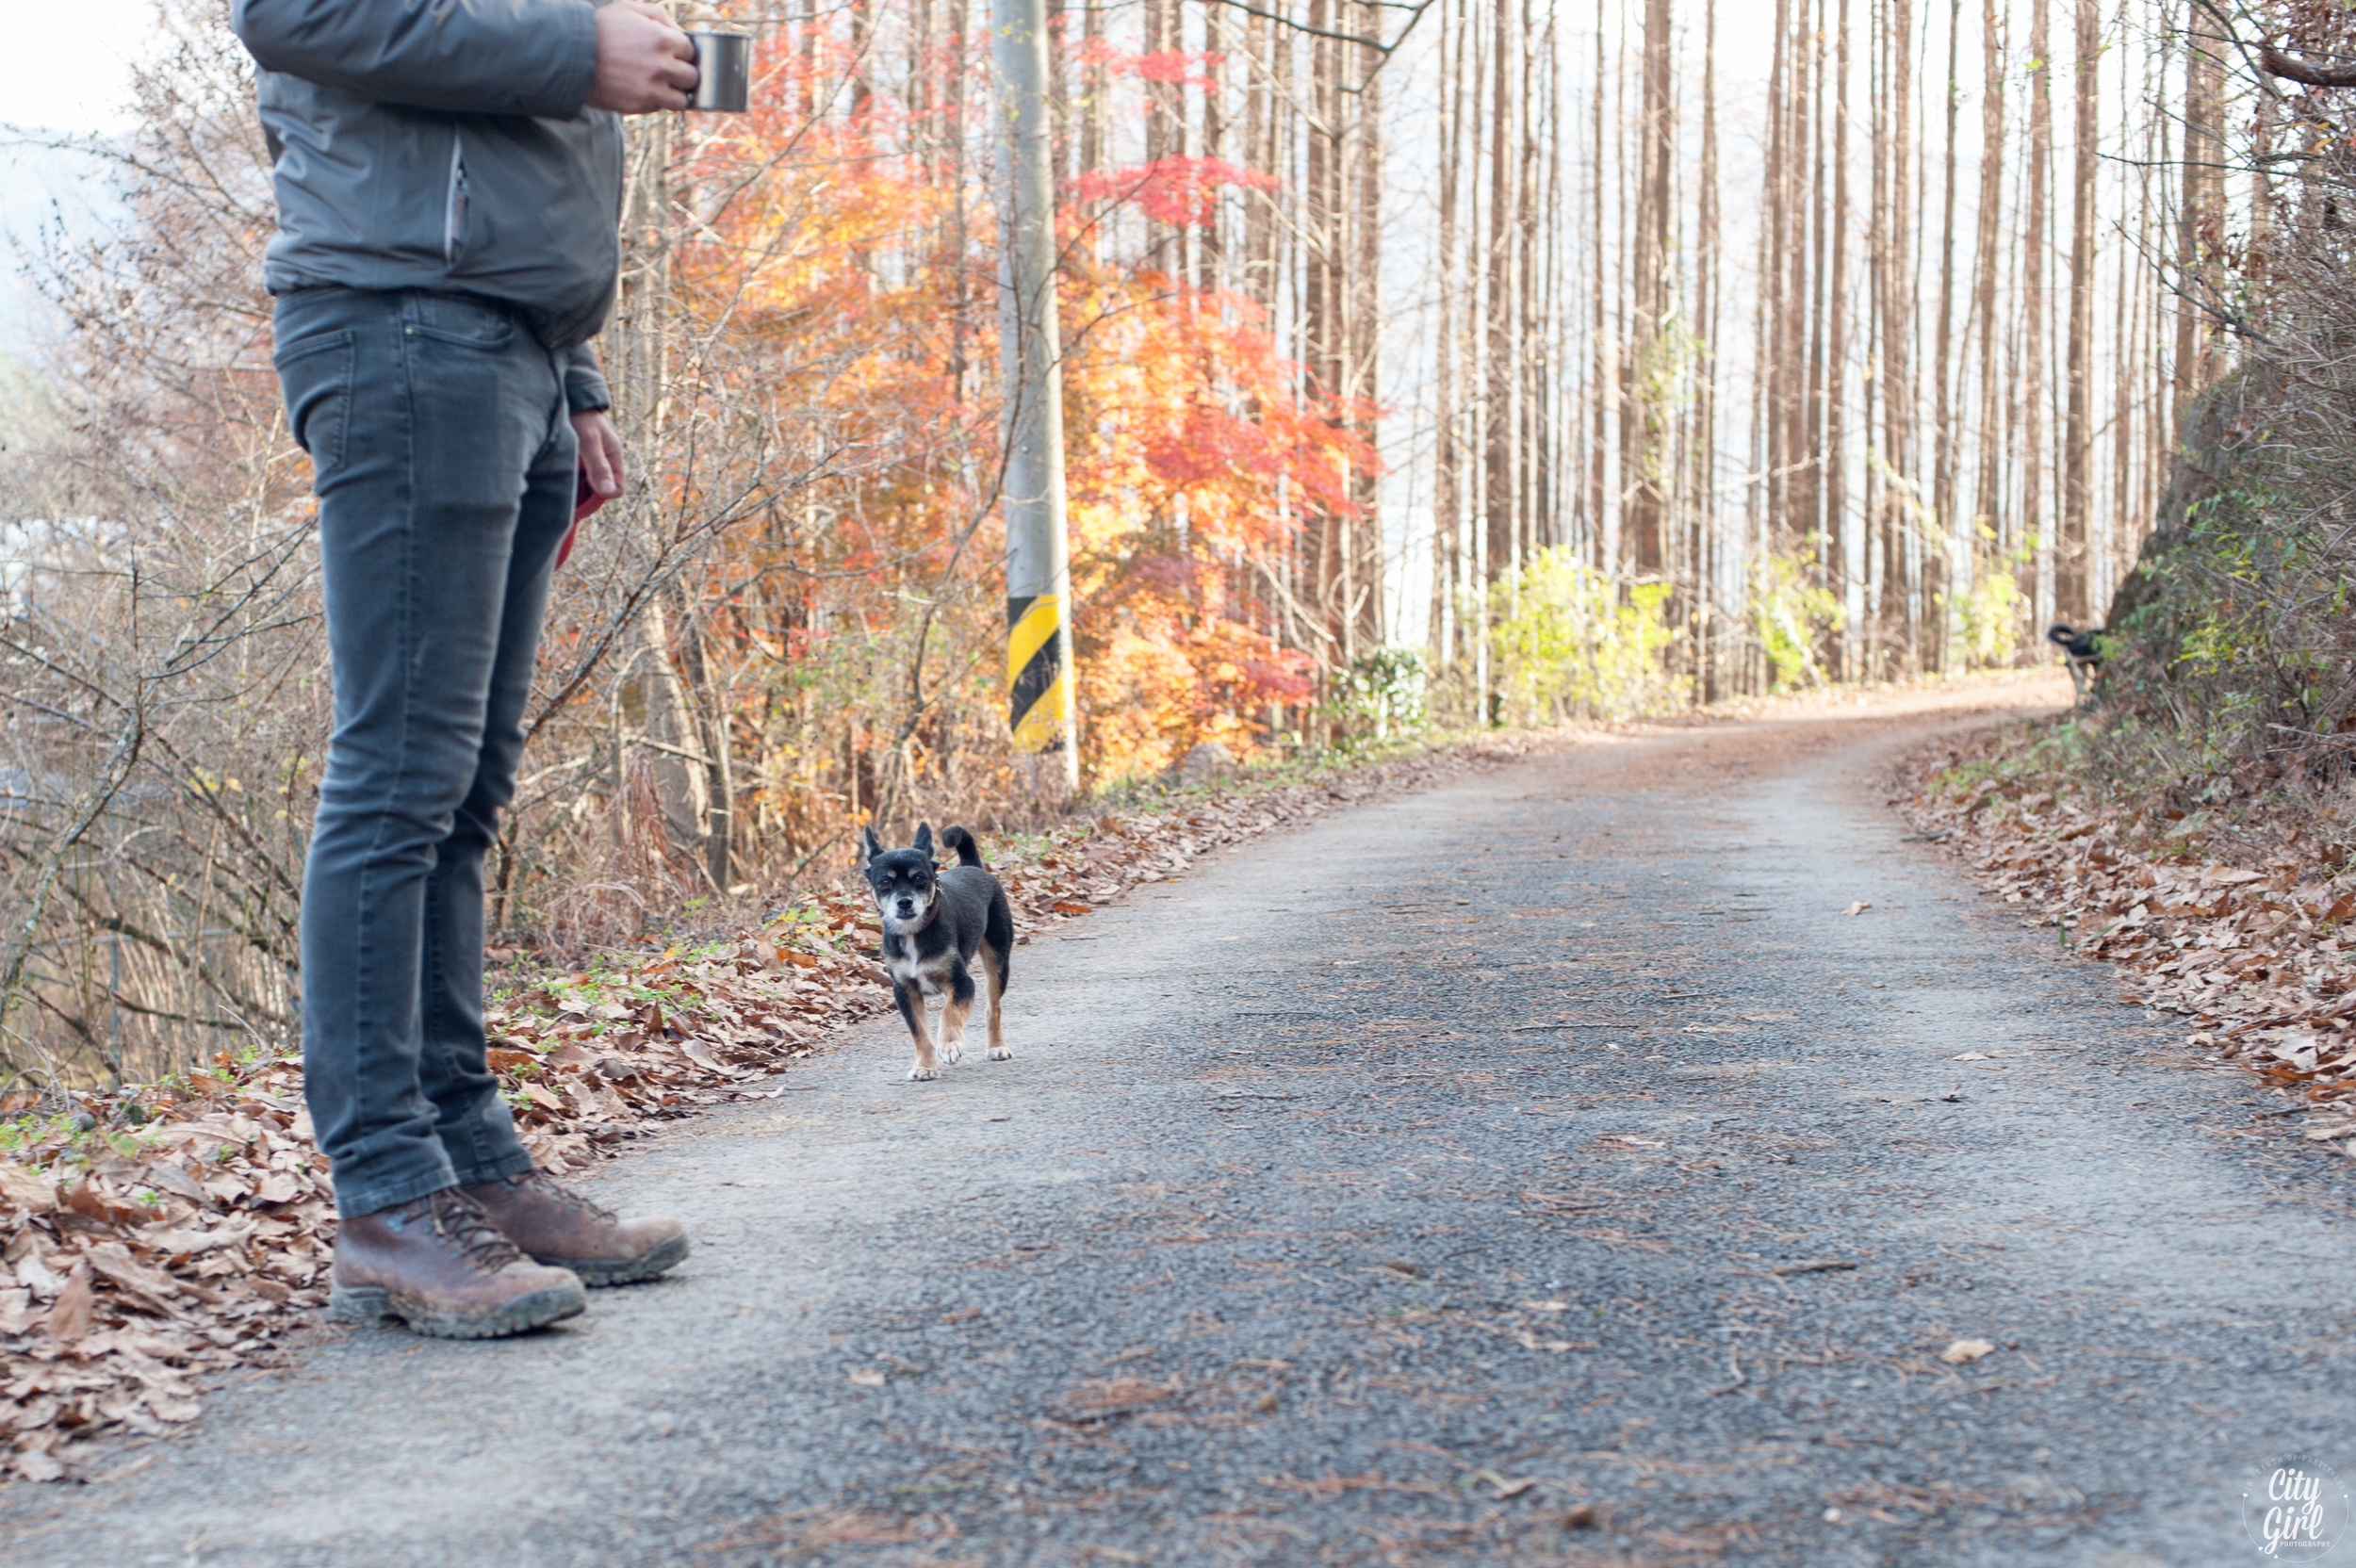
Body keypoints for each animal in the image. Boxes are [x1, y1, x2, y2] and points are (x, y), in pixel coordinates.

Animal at [867, 819, 1013, 1073]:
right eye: (885, 882)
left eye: (919, 878)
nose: (904, 902)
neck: (914, 933)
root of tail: (974, 867)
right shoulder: (905, 991)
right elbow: (920, 1033)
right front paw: (924, 1067)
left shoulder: (962, 983)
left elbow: (950, 1012)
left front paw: (949, 1044)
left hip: (998, 961)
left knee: (993, 1008)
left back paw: (997, 1047)